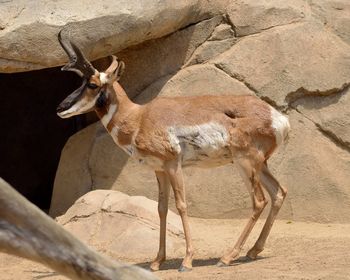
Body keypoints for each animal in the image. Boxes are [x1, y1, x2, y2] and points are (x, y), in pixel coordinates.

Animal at [56, 30, 290, 272]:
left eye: (93, 84)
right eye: (81, 82)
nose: (60, 108)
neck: (139, 117)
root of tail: (276, 116)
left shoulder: (173, 165)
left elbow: (182, 205)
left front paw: (187, 261)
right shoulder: (159, 170)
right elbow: (162, 208)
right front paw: (156, 261)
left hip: (245, 163)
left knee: (259, 201)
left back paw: (227, 257)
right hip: (260, 165)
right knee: (279, 192)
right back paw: (253, 251)